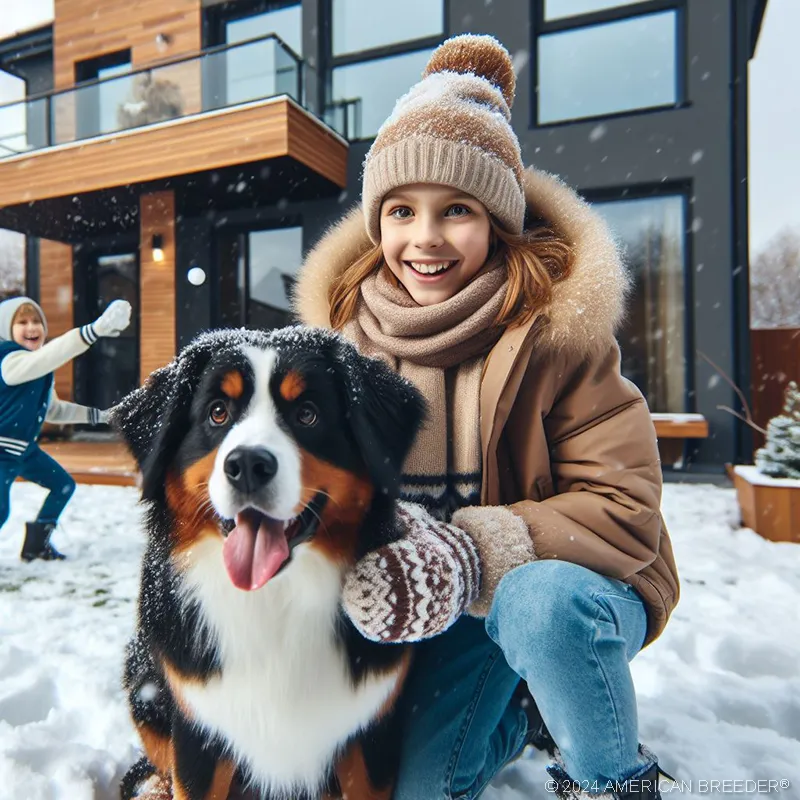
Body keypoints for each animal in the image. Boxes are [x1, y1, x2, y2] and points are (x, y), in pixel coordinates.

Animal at [113, 326, 428, 800]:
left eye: (307, 415)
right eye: (218, 413)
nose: (247, 464)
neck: (274, 598)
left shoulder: (370, 736)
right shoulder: (199, 733)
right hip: (141, 678)